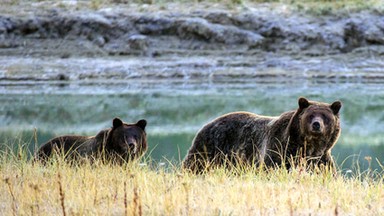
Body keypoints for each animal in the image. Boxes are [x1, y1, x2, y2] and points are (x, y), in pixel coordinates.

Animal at [183, 97, 342, 173]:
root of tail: (207, 124)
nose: (316, 124)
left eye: (325, 116)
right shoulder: (279, 149)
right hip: (210, 148)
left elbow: (326, 172)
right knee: (194, 165)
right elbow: (271, 168)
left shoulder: (320, 158)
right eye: (311, 115)